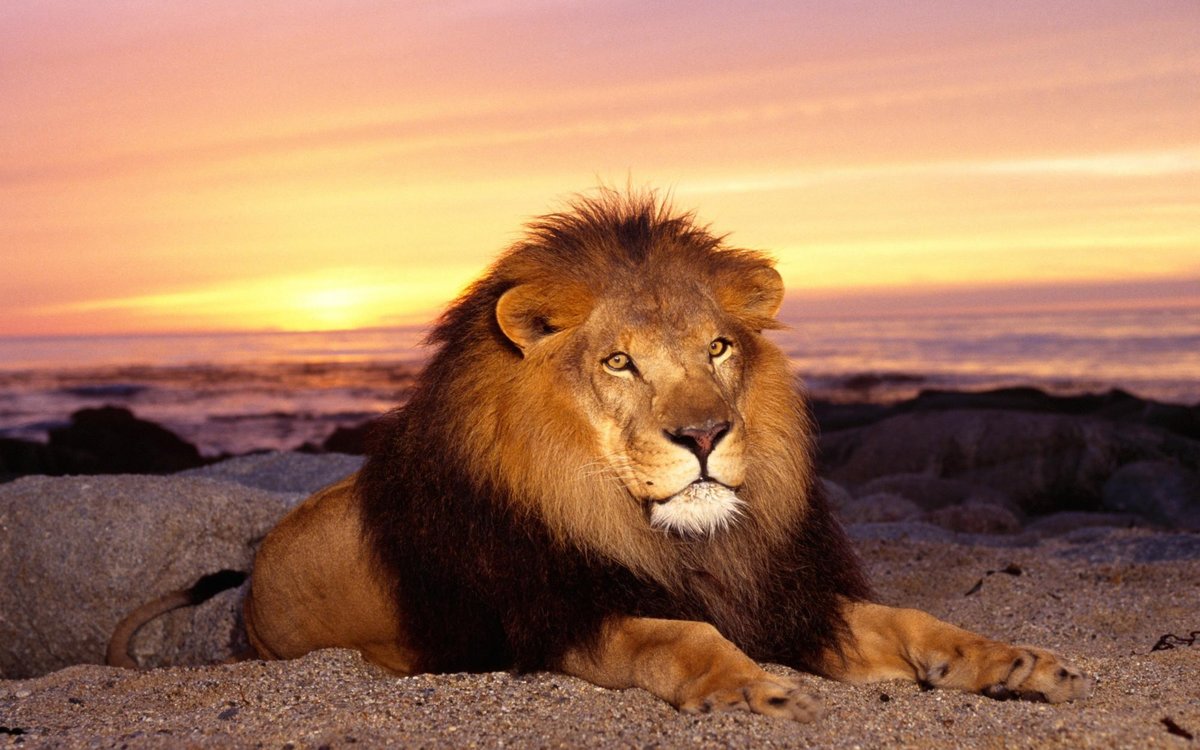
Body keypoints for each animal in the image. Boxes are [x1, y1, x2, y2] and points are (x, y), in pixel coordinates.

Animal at [225, 192, 1090, 719]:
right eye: (619, 363)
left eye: (717, 349)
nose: (704, 436)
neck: (677, 541)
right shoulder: (555, 617)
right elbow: (678, 636)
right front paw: (754, 690)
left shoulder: (781, 597)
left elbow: (915, 619)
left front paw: (1014, 662)